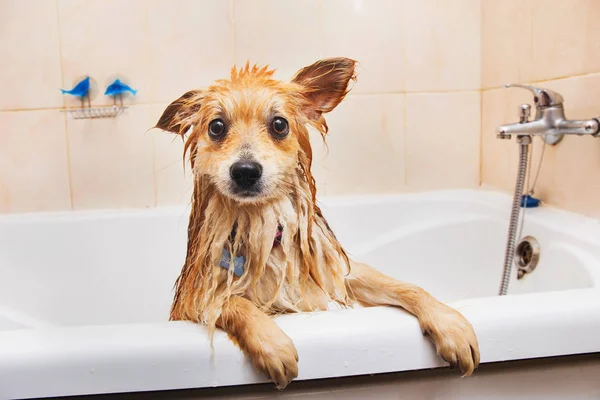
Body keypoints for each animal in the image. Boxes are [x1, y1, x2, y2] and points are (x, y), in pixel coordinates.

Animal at [155, 57, 478, 390]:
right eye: (216, 127)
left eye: (279, 124)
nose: (245, 170)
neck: (261, 227)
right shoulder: (194, 300)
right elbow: (232, 303)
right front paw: (273, 344)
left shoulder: (334, 270)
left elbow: (406, 286)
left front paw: (449, 322)